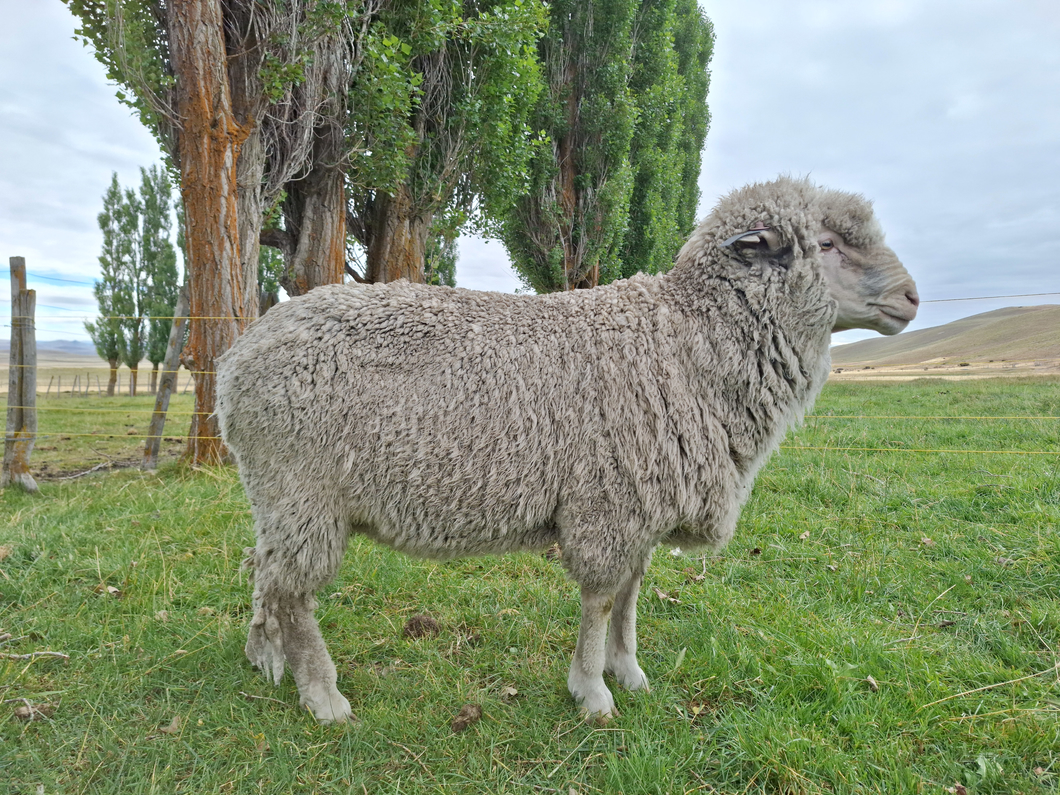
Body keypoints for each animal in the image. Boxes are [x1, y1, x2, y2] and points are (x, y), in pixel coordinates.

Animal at [217, 177, 920, 725]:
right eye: (825, 244)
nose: (911, 297)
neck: (684, 341)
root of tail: (234, 360)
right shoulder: (608, 504)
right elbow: (602, 598)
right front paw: (592, 692)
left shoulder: (642, 505)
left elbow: (632, 595)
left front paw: (629, 672)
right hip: (303, 490)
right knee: (293, 591)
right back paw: (322, 695)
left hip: (276, 496)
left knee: (264, 571)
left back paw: (265, 656)